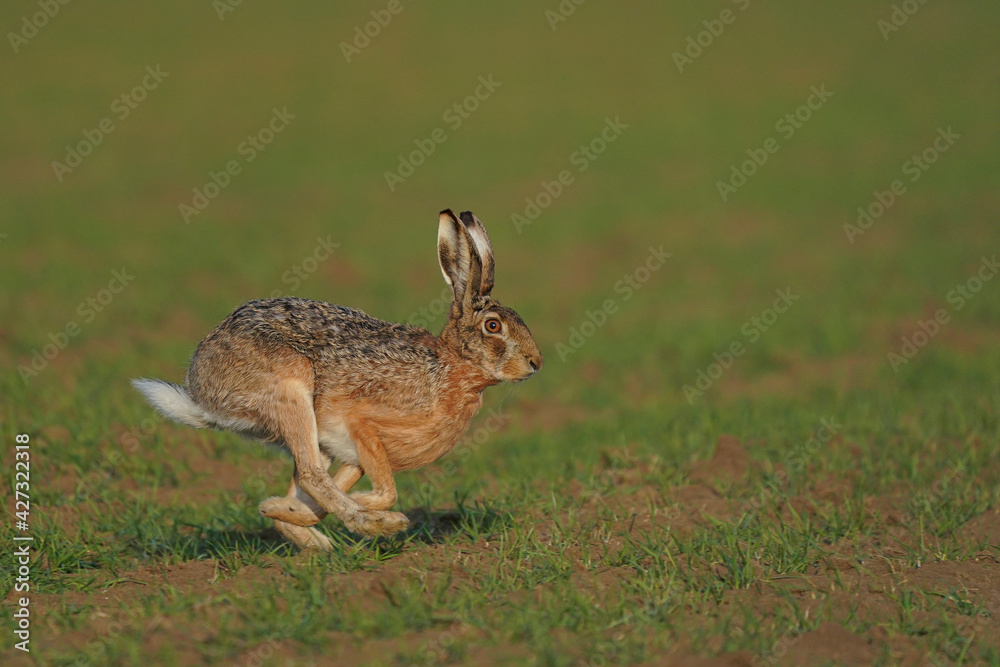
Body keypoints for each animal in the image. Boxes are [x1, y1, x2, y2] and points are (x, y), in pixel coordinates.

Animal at [132, 210, 543, 550]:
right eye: (493, 326)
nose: (536, 363)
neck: (453, 368)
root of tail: (202, 390)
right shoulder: (364, 425)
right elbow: (386, 490)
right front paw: (371, 511)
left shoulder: (353, 454)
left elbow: (342, 489)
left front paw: (293, 513)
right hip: (292, 390)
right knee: (312, 474)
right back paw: (376, 524)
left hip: (310, 430)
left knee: (306, 480)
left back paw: (303, 530)